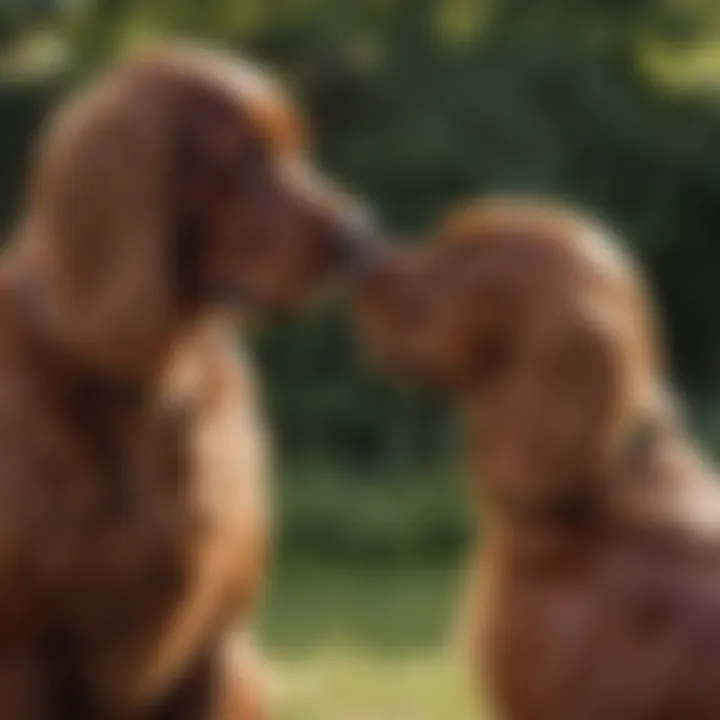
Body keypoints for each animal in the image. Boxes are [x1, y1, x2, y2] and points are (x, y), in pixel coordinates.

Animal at [0, 46, 374, 720]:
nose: (361, 236)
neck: (148, 383)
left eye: (294, 147)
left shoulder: (213, 647)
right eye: (245, 156)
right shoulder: (23, 654)